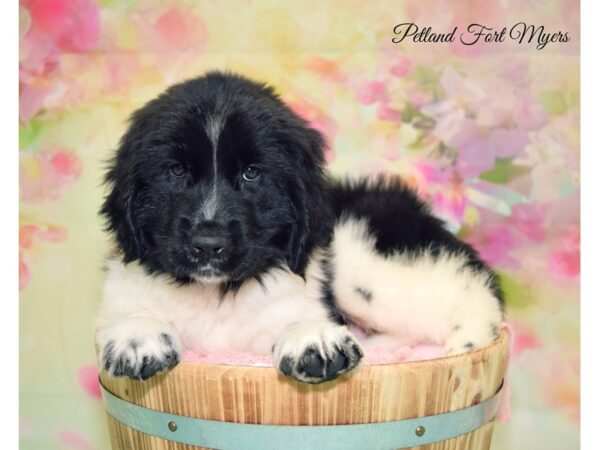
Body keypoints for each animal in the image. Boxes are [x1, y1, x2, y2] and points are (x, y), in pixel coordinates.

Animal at [96, 72, 504, 384]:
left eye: (252, 173)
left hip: (366, 263)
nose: (208, 244)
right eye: (176, 172)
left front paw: (312, 337)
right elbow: (126, 308)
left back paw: (464, 343)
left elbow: (298, 315)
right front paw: (138, 334)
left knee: (471, 297)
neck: (217, 294)